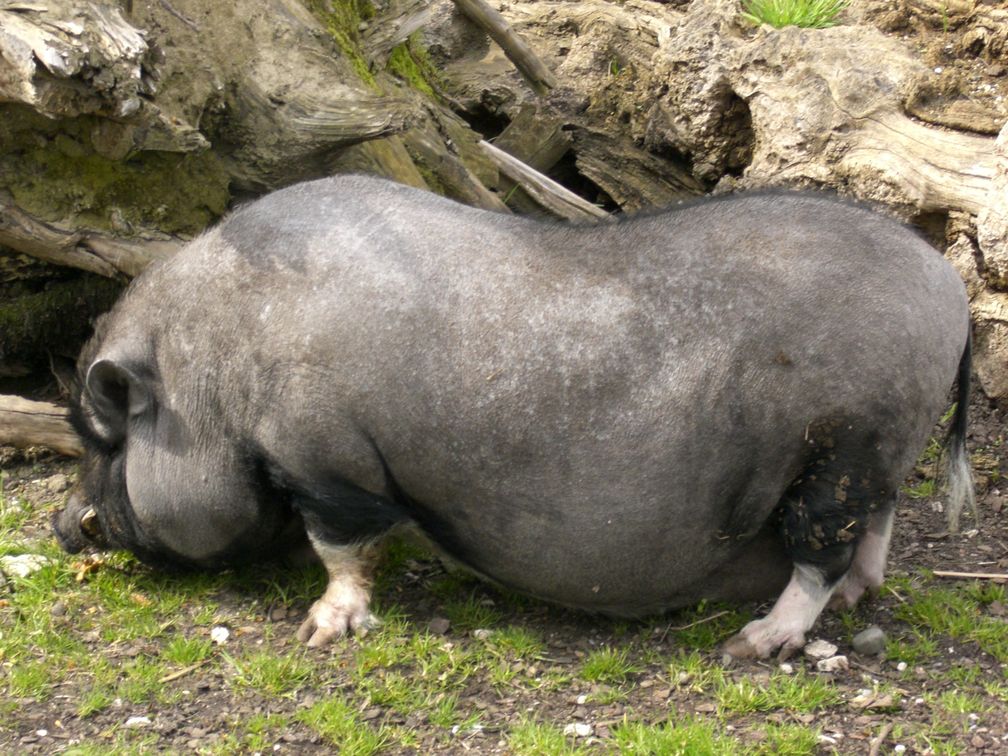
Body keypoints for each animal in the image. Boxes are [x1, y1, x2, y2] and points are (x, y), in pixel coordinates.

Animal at [51, 174, 971, 661]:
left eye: (99, 436)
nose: (62, 526)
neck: (215, 372)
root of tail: (950, 285)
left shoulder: (329, 459)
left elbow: (341, 547)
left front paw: (322, 631)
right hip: (877, 451)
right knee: (874, 532)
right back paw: (852, 598)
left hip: (843, 446)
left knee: (823, 549)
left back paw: (753, 643)